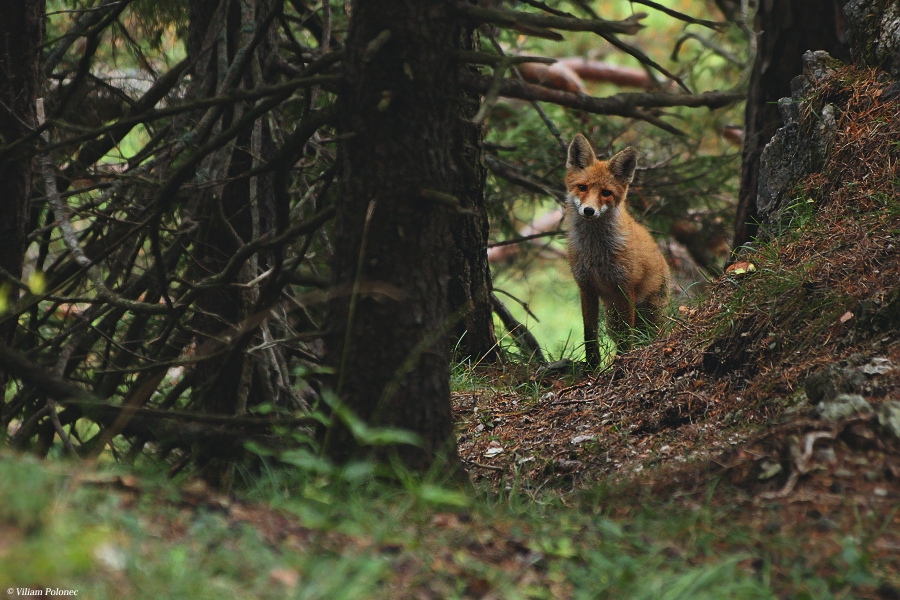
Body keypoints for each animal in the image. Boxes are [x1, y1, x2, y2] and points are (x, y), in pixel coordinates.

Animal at [564, 134, 668, 366]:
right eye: (582, 187)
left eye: (606, 193)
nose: (589, 211)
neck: (595, 253)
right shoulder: (586, 287)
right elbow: (590, 335)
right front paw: (592, 367)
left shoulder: (625, 289)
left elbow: (627, 337)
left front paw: (621, 361)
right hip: (612, 316)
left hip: (650, 312)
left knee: (648, 333)